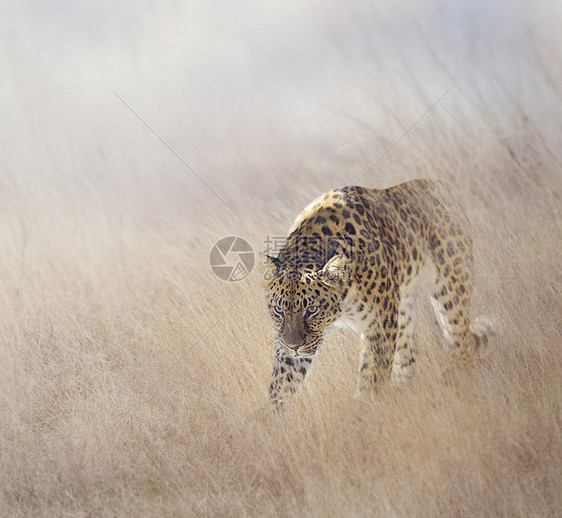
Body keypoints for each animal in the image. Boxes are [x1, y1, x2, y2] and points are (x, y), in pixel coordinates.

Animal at [262, 179, 490, 406]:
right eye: (278, 310)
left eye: (312, 310)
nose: (294, 346)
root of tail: (439, 186)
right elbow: (283, 380)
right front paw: (271, 413)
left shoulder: (380, 323)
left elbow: (373, 373)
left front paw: (369, 407)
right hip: (403, 309)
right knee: (409, 355)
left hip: (450, 289)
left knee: (461, 340)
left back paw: (460, 383)